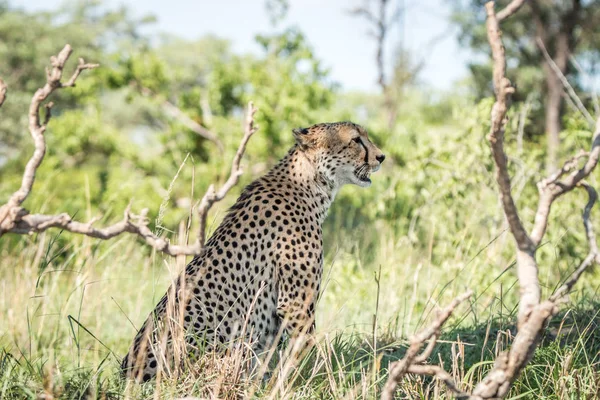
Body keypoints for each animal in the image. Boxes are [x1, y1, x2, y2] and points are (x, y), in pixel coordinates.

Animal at [121, 122, 384, 382]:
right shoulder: (295, 306)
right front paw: (315, 381)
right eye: (356, 140)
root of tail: (127, 374)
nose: (381, 157)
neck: (308, 183)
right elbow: (305, 355)